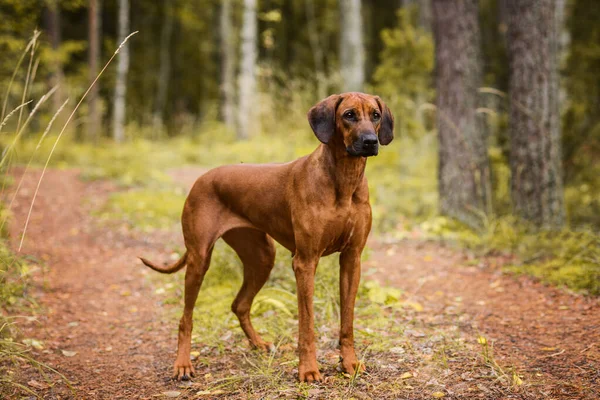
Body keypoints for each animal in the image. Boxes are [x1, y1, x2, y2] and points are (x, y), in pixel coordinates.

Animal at [140, 92, 394, 382]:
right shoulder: (305, 261)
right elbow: (307, 325)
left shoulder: (352, 259)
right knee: (186, 318)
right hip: (199, 259)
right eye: (349, 115)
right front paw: (308, 369)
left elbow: (347, 322)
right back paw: (182, 364)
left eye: (375, 115)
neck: (344, 179)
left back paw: (258, 343)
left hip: (262, 257)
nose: (370, 141)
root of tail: (202, 178)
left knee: (239, 304)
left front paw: (349, 363)